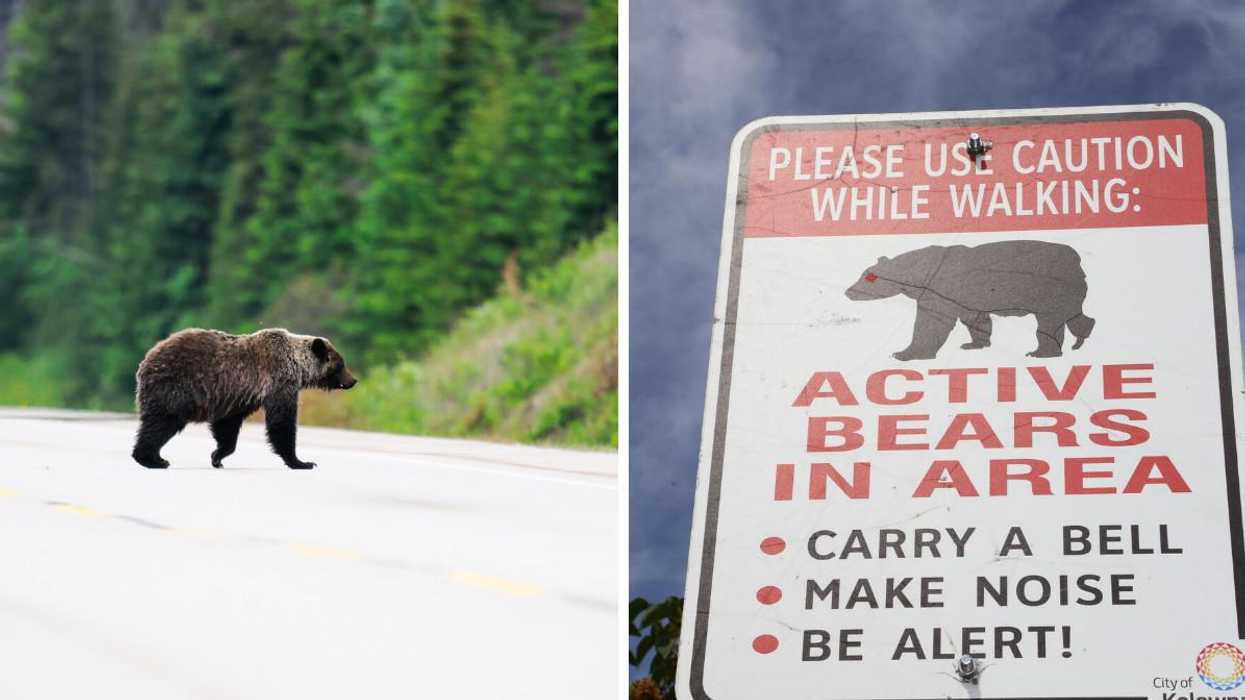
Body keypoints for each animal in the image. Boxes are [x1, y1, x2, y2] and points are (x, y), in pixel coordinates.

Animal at [131, 328, 357, 470]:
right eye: (340, 364)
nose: (353, 380)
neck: (297, 366)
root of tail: (146, 360)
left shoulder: (239, 396)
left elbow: (227, 427)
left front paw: (217, 456)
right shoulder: (278, 382)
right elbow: (281, 423)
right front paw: (302, 462)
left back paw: (155, 458)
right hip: (175, 388)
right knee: (162, 423)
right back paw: (152, 459)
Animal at [844, 239, 1095, 361]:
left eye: (870, 276)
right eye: (864, 272)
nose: (848, 292)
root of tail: (1077, 259)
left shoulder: (940, 290)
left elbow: (932, 322)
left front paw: (905, 353)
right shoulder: (965, 297)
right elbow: (975, 318)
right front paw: (974, 343)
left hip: (1049, 288)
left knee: (1049, 322)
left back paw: (1041, 352)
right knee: (1073, 315)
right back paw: (1081, 336)